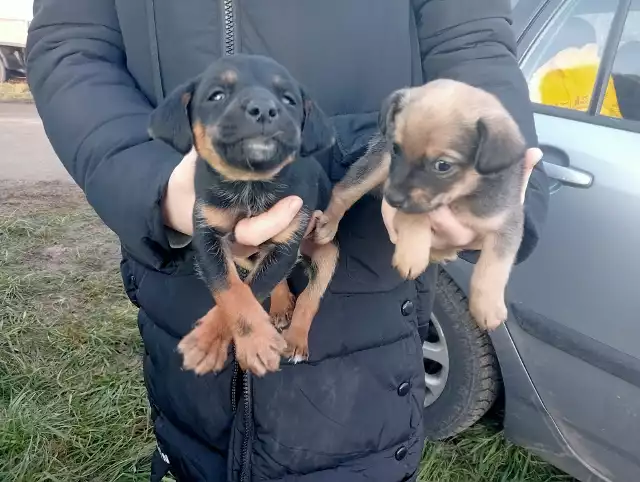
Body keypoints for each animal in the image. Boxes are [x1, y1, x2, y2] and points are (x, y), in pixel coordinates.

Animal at [149, 53, 340, 376]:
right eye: (216, 95)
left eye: (288, 100)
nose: (263, 109)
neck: (250, 184)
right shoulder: (207, 237)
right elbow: (232, 289)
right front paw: (211, 342)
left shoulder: (286, 243)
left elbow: (254, 288)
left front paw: (247, 343)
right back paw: (280, 306)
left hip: (327, 253)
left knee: (308, 297)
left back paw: (295, 339)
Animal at [312, 80, 528, 332]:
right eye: (397, 149)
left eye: (443, 165)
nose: (391, 198)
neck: (459, 198)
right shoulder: (410, 200)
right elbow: (416, 218)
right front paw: (412, 255)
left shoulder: (507, 221)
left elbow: (495, 265)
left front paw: (488, 306)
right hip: (378, 165)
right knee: (343, 191)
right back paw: (328, 225)